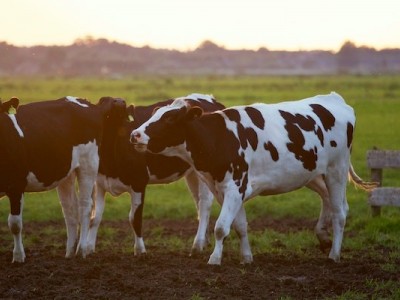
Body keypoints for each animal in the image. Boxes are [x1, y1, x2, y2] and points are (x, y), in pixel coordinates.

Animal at [0, 95, 126, 262]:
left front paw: (18, 257)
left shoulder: (16, 185)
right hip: (66, 172)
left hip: (88, 164)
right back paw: (69, 252)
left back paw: (81, 250)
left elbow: (14, 223)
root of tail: (89, 104)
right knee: (70, 209)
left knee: (85, 206)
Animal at [86, 92, 225, 254]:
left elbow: (135, 218)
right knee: (198, 203)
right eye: (103, 100)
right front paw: (88, 248)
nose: (120, 101)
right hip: (193, 173)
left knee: (204, 204)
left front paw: (140, 250)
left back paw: (198, 244)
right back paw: (205, 241)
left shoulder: (139, 182)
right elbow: (95, 217)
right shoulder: (99, 183)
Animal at [131, 92, 378, 264]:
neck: (220, 137)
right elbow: (239, 226)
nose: (135, 134)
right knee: (329, 200)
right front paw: (246, 257)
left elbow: (221, 227)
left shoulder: (235, 187)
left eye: (170, 118)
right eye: (154, 114)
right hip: (313, 174)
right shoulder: (226, 190)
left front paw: (214, 259)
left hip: (337, 170)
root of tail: (334, 99)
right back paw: (323, 237)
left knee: (340, 213)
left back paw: (334, 254)